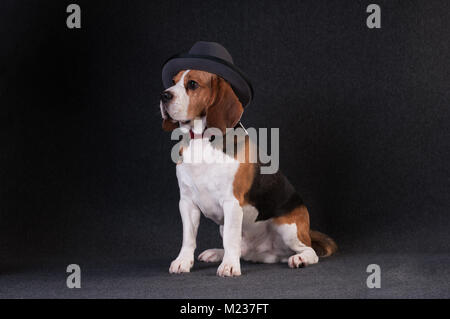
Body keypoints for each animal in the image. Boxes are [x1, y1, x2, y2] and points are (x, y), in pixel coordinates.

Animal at [160, 42, 336, 278]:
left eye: (192, 84)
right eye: (173, 81)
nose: (164, 95)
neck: (202, 141)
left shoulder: (232, 203)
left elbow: (230, 239)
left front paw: (229, 266)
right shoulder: (187, 203)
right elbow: (189, 237)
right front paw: (183, 261)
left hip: (287, 227)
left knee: (309, 250)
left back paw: (299, 258)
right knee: (240, 248)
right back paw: (217, 253)